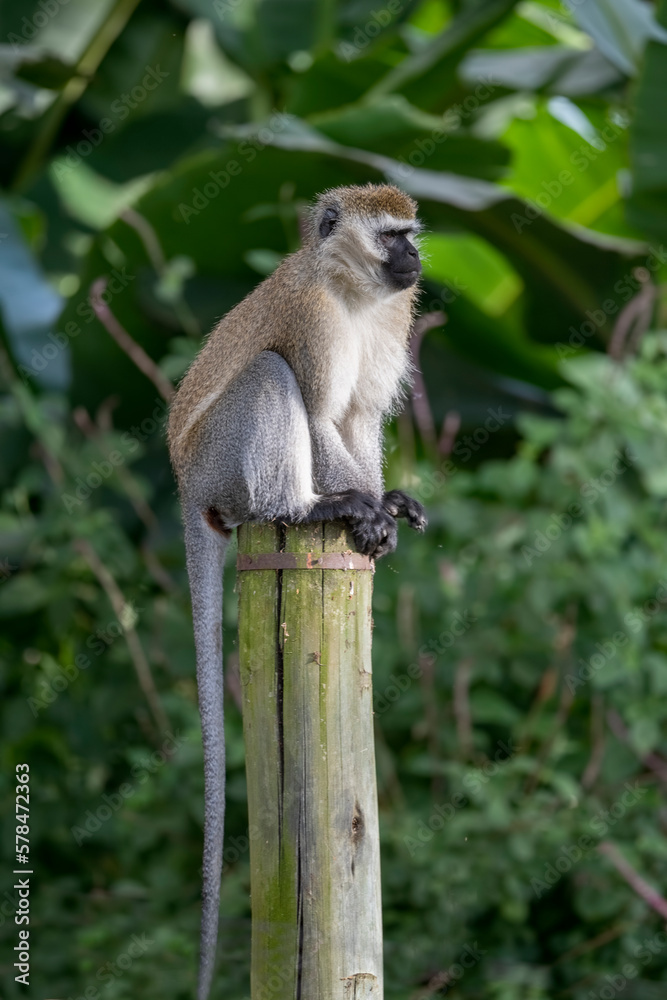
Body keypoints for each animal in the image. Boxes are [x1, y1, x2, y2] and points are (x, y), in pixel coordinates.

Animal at [167, 184, 428, 996]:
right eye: (392, 236)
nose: (415, 259)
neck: (353, 293)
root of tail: (186, 486)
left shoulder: (394, 316)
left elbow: (356, 417)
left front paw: (388, 507)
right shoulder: (312, 318)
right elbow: (317, 414)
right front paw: (365, 511)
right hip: (222, 463)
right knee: (270, 375)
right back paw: (306, 508)